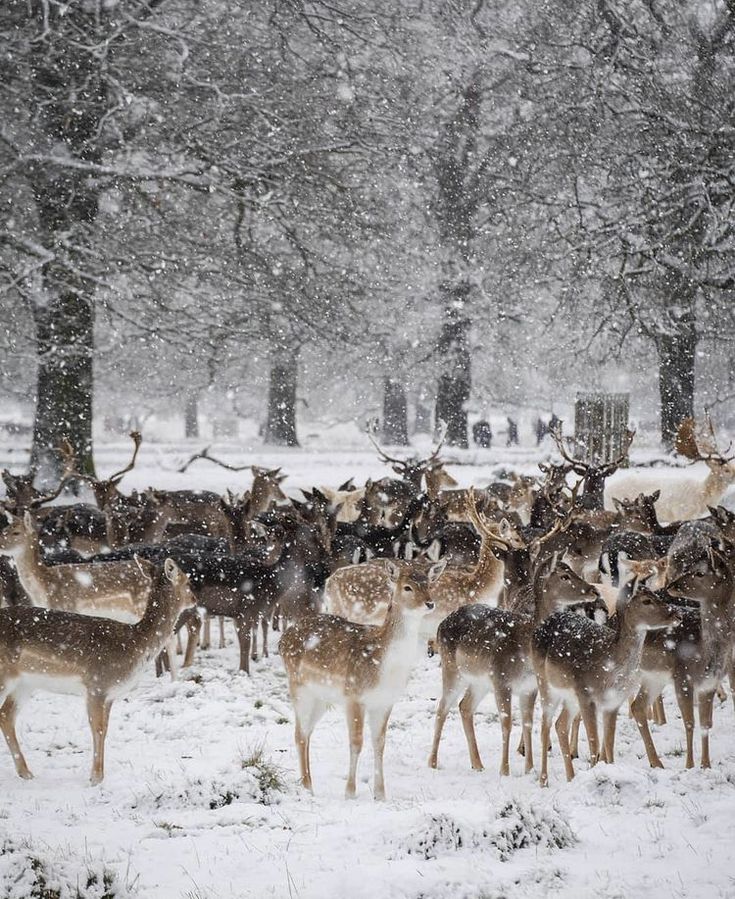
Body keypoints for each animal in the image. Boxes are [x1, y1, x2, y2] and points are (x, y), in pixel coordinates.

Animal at [0, 560, 196, 784]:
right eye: (187, 580)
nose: (195, 599)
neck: (134, 646)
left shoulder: (110, 694)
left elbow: (106, 729)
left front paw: (99, 776)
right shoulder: (97, 684)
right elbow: (97, 728)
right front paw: (95, 777)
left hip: (25, 684)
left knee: (6, 715)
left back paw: (25, 772)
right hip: (5, 676)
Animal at [280, 564, 442, 800]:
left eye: (429, 584)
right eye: (407, 587)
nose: (429, 603)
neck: (384, 667)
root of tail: (283, 639)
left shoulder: (385, 702)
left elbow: (379, 743)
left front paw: (381, 794)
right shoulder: (354, 696)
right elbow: (356, 742)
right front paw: (350, 792)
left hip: (321, 698)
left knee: (307, 732)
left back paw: (308, 783)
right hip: (299, 688)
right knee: (299, 734)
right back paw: (307, 788)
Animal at [428, 552, 600, 776]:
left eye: (572, 569)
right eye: (564, 576)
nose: (594, 590)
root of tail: (441, 625)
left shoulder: (529, 687)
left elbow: (527, 722)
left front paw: (530, 768)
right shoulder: (502, 679)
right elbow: (507, 722)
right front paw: (505, 770)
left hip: (480, 682)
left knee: (464, 707)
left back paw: (477, 764)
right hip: (452, 669)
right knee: (442, 708)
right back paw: (432, 762)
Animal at [536, 584, 684, 788]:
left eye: (656, 596)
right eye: (647, 601)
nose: (677, 615)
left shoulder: (614, 702)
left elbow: (609, 741)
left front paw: (610, 771)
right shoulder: (586, 695)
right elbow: (594, 740)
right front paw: (594, 774)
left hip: (570, 698)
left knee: (560, 725)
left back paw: (571, 777)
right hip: (545, 684)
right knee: (545, 726)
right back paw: (543, 780)